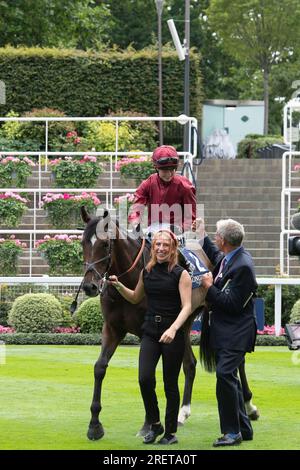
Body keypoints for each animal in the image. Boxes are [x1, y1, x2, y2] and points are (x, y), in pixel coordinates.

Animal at [78, 208, 258, 440]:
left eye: (105, 244)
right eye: (83, 242)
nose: (90, 286)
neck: (131, 280)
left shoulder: (147, 332)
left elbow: (147, 373)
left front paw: (148, 424)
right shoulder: (112, 328)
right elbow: (100, 368)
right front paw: (94, 425)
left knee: (238, 359)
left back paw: (249, 405)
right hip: (183, 324)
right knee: (190, 364)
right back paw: (183, 412)